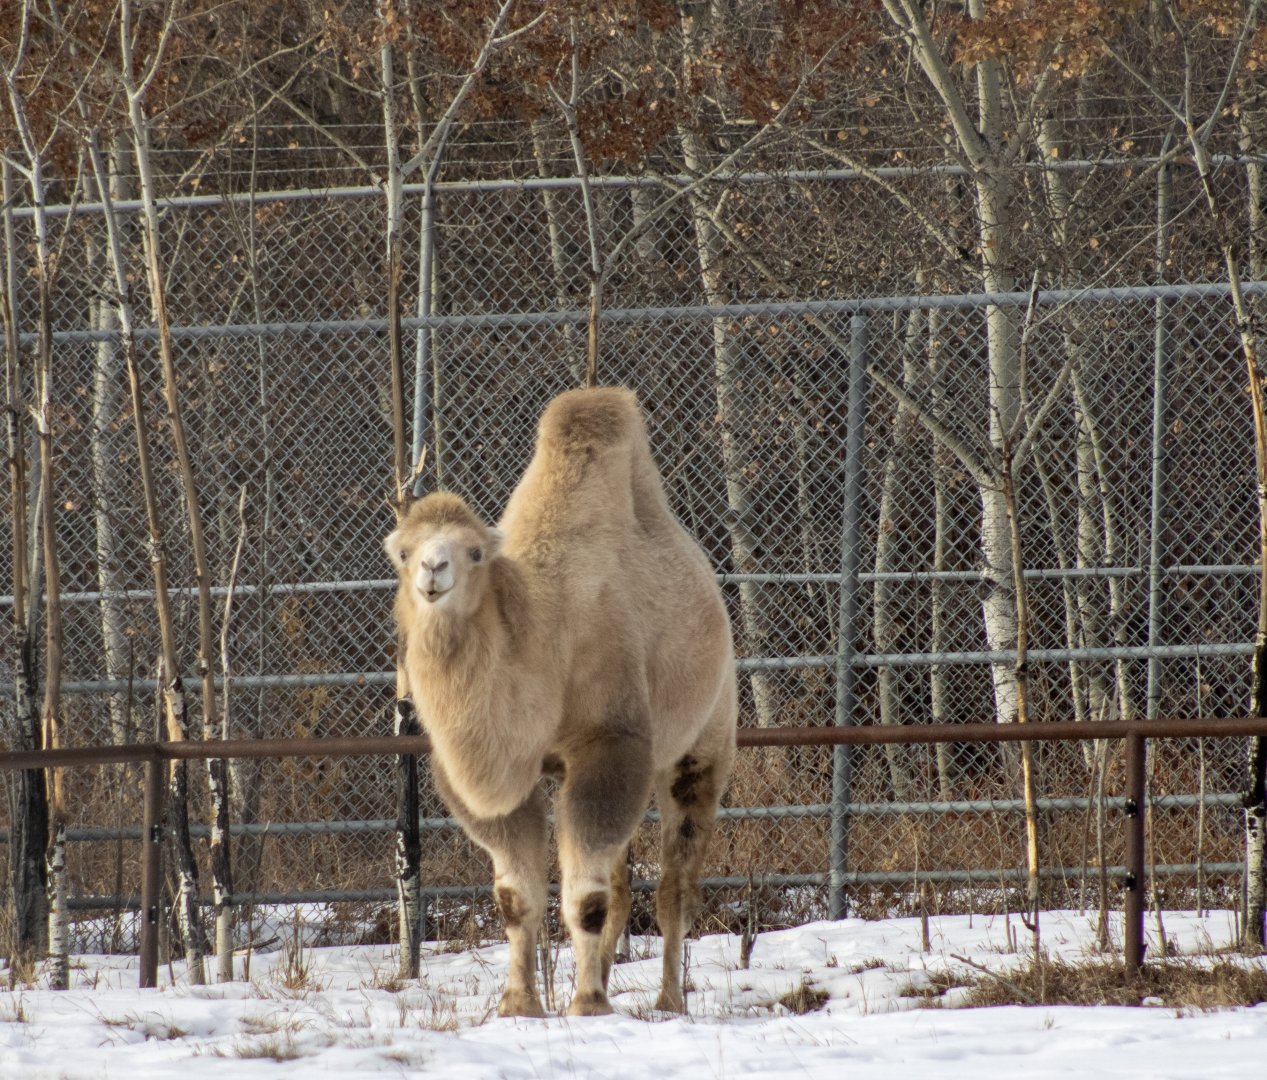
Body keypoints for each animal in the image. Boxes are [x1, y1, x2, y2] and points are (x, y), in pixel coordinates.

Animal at [384, 386, 737, 1017]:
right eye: (403, 552)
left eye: (474, 552)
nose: (432, 569)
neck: (544, 636)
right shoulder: (501, 774)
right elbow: (516, 897)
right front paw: (519, 1004)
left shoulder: (609, 744)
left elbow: (586, 898)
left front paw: (588, 1004)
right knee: (625, 884)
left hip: (703, 740)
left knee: (674, 884)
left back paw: (670, 1000)